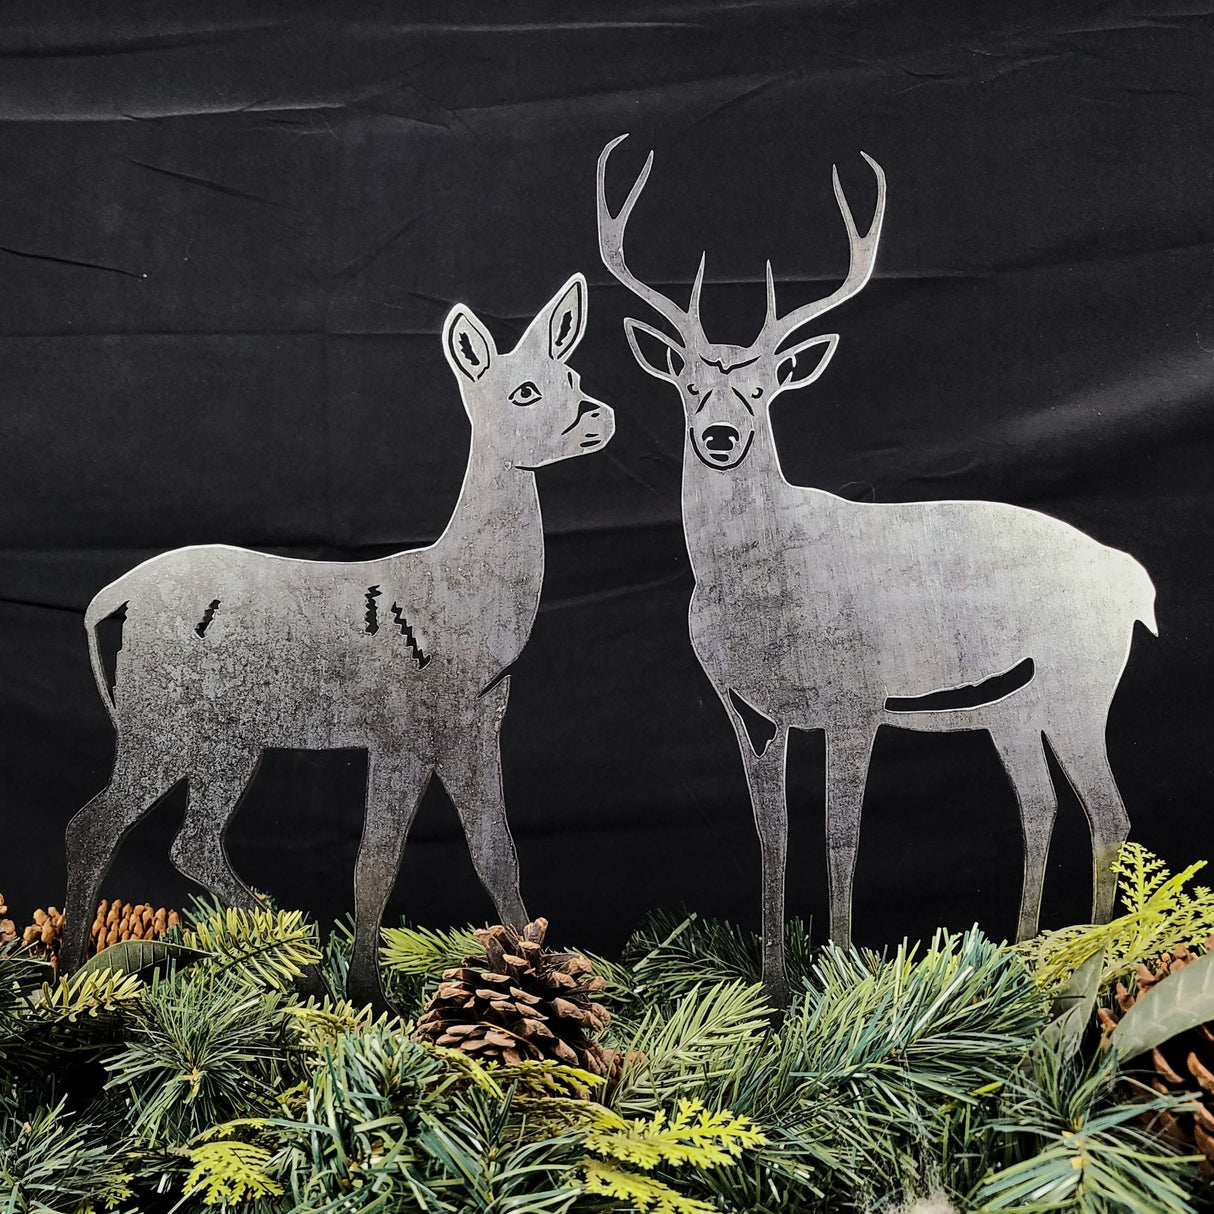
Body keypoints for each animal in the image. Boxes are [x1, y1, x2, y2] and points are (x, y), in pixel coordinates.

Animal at [61, 273, 614, 1006]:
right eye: (524, 391)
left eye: (572, 373)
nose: (600, 415)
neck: (460, 601)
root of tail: (111, 596)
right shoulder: (401, 727)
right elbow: (376, 860)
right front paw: (368, 995)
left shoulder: (476, 725)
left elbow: (499, 853)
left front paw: (544, 970)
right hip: (162, 715)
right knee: (96, 824)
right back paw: (74, 977)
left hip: (228, 737)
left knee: (192, 840)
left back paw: (291, 956)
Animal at [597, 134, 1157, 1004]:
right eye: (689, 385)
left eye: (762, 390)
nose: (720, 437)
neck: (762, 598)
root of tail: (1134, 578)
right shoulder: (747, 709)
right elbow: (770, 833)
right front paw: (771, 987)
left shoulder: (855, 700)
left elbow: (842, 833)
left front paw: (839, 973)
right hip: (1012, 707)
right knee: (1040, 804)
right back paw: (1020, 954)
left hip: (1081, 680)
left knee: (1109, 811)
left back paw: (1086, 974)